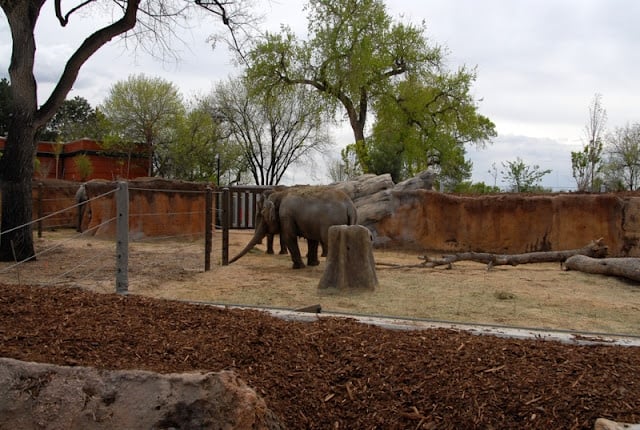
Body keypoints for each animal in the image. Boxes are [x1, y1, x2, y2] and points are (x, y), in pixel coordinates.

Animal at [231, 186, 360, 268]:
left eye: (262, 214)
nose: (228, 262)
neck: (280, 194)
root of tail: (350, 205)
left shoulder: (286, 215)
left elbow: (289, 236)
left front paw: (298, 267)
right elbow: (312, 240)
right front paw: (313, 264)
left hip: (332, 222)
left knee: (328, 240)